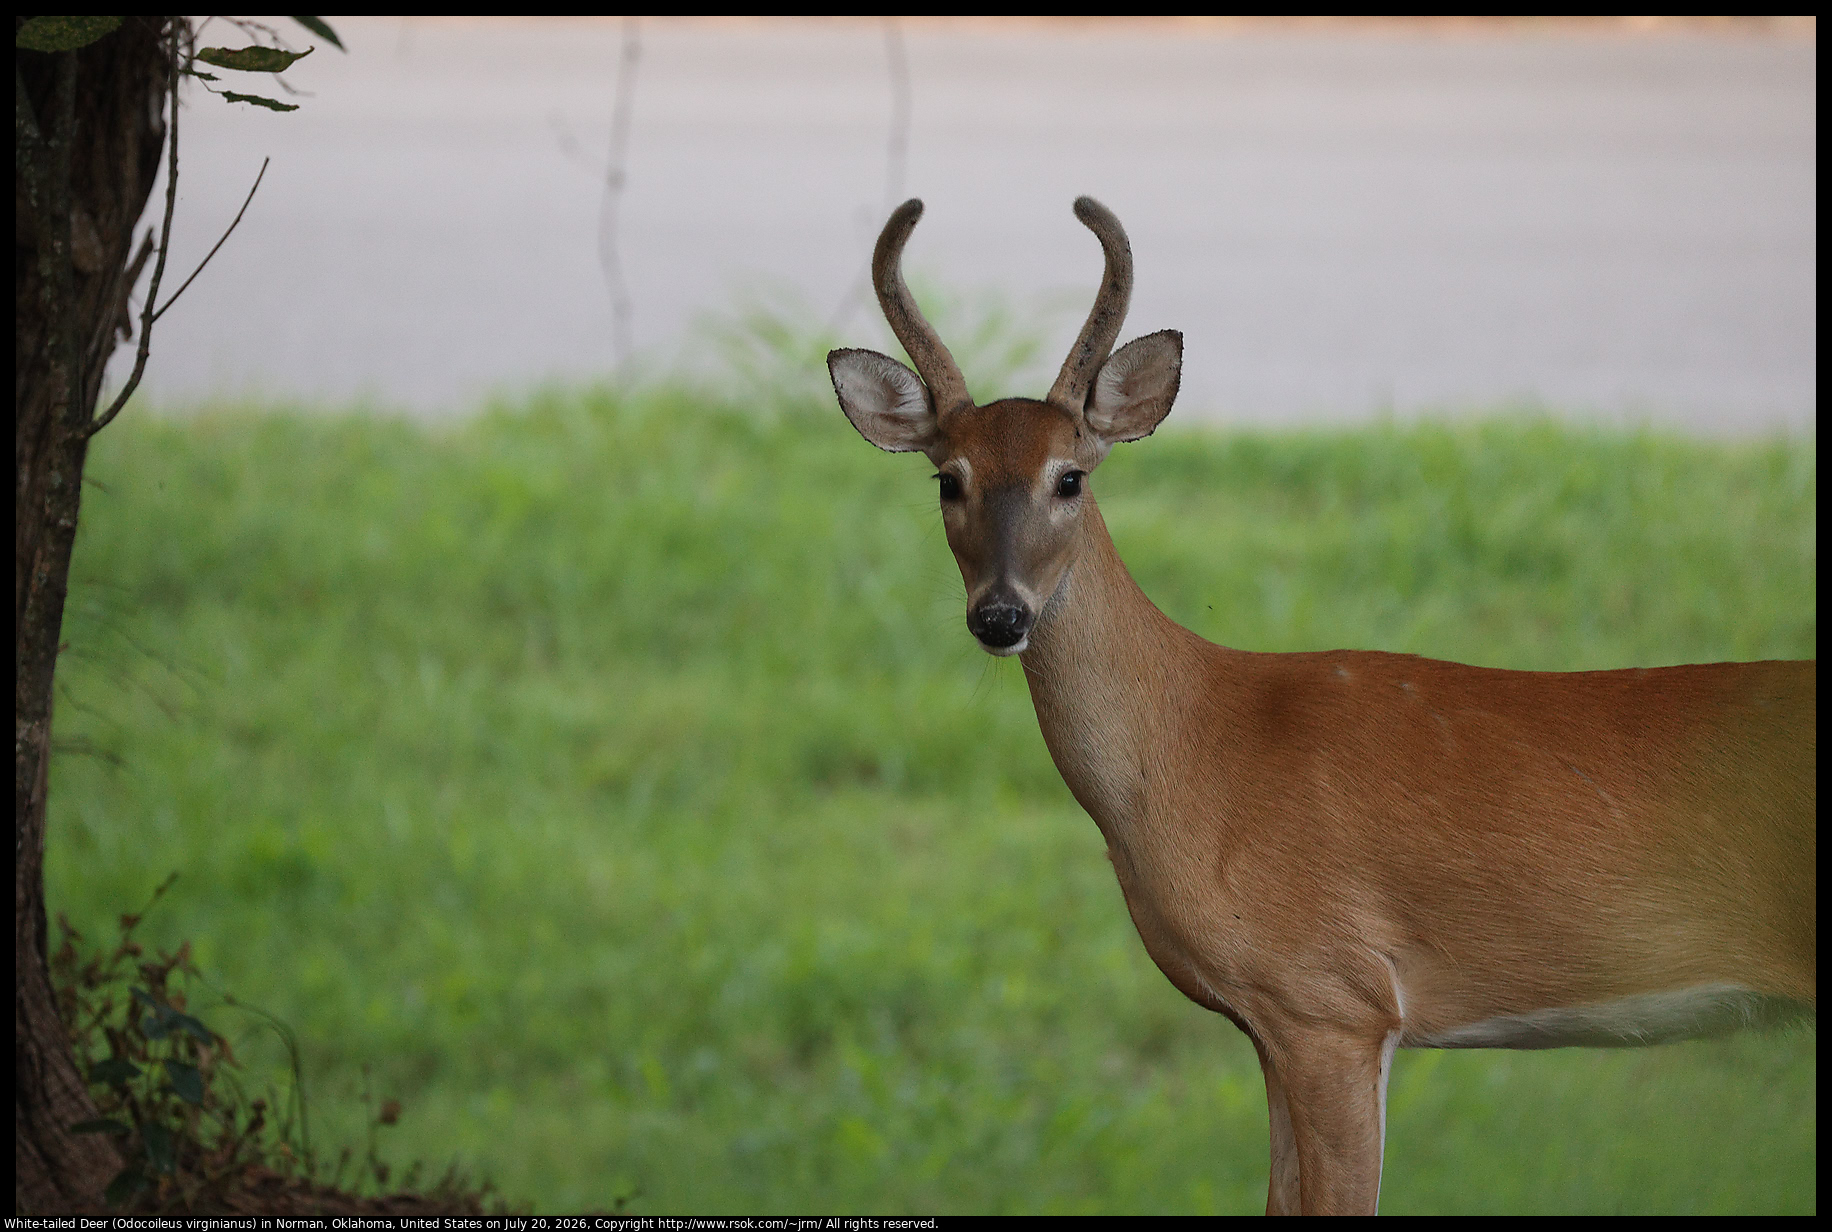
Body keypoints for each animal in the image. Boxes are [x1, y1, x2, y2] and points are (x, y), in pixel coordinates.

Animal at [826, 197, 1816, 1215]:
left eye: (1071, 475)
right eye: (948, 478)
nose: (1000, 615)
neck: (1192, 750)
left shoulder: (1332, 998)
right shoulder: (1274, 1023)